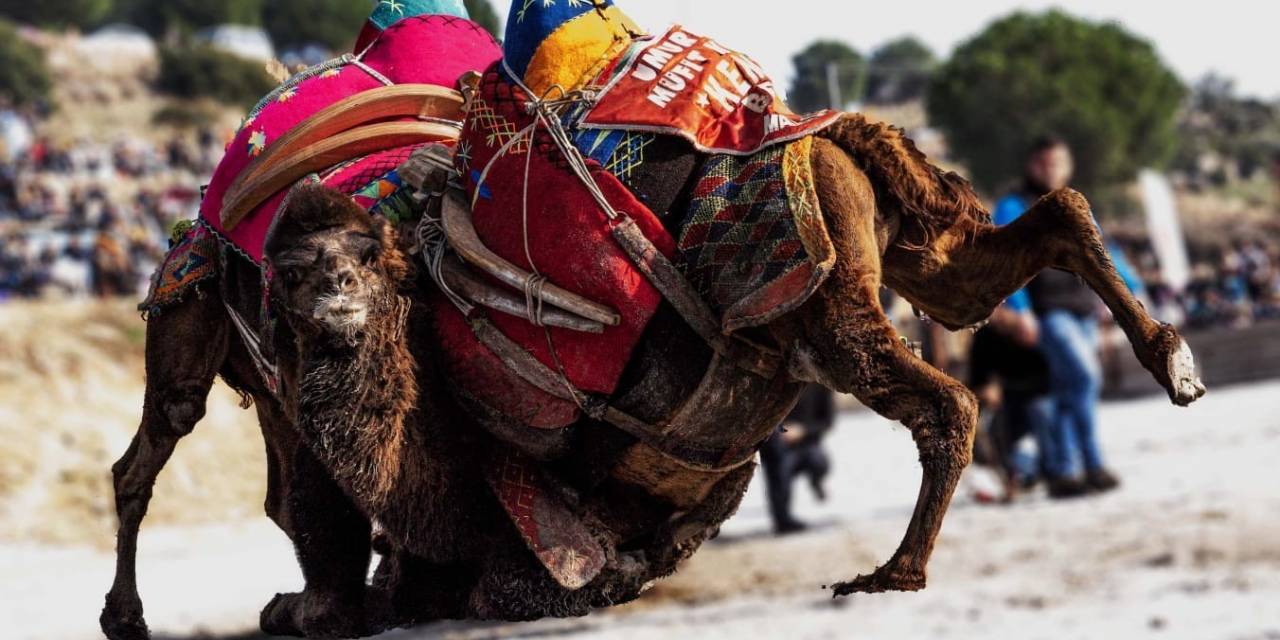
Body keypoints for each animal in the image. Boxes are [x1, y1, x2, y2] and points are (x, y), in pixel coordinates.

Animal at [99, 113, 1198, 640]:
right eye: (291, 273)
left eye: (365, 257)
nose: (328, 289)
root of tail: (832, 138)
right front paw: (329, 606)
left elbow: (502, 569)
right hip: (910, 255)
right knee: (1045, 222)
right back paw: (1171, 362)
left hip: (832, 306)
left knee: (951, 399)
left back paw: (893, 571)